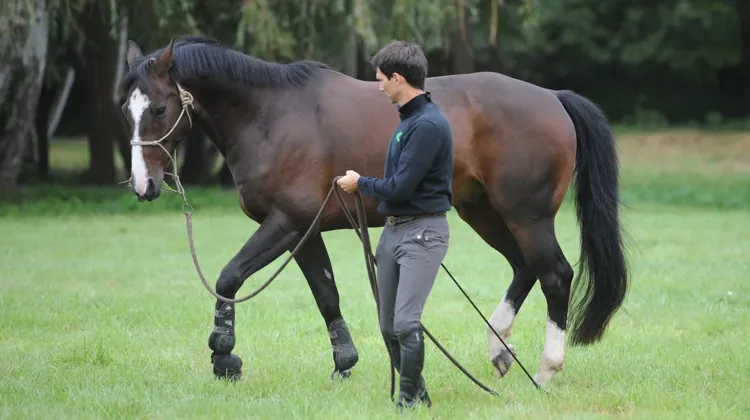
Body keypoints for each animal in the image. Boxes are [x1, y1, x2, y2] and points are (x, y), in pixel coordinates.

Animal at [118, 35, 629, 387]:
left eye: (159, 109)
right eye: (127, 110)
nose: (143, 185)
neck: (268, 117)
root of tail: (552, 97)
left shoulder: (284, 224)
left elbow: (228, 278)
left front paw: (224, 356)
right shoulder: (304, 230)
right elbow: (327, 295)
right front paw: (344, 364)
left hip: (527, 215)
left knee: (555, 275)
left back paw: (546, 369)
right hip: (483, 211)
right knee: (524, 267)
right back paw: (500, 348)